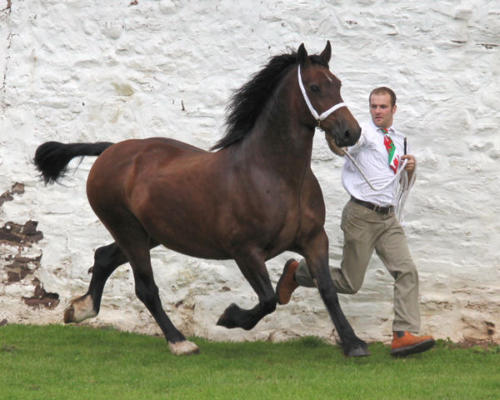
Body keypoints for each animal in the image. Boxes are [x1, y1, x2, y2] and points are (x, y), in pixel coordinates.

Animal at [35, 43, 370, 356]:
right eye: (314, 87)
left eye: (338, 84)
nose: (350, 133)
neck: (273, 175)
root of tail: (110, 150)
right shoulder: (245, 251)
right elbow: (268, 299)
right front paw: (230, 317)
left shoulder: (314, 239)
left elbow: (328, 289)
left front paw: (353, 343)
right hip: (128, 230)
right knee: (146, 287)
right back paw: (179, 341)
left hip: (149, 234)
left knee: (104, 257)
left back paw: (80, 309)